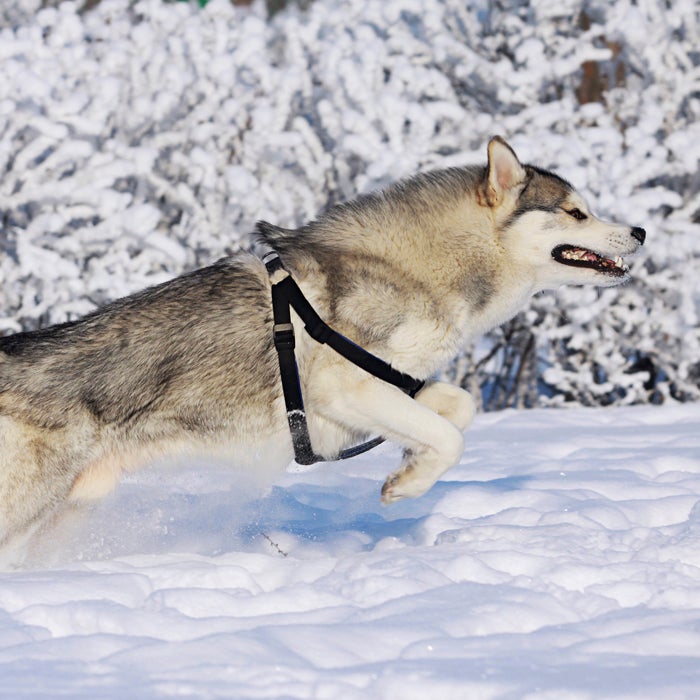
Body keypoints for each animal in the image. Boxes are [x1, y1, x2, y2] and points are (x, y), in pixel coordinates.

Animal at [0, 135, 644, 540]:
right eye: (577, 213)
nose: (639, 230)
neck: (417, 269)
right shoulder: (344, 390)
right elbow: (451, 436)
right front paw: (407, 486)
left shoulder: (390, 390)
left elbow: (458, 410)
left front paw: (411, 466)